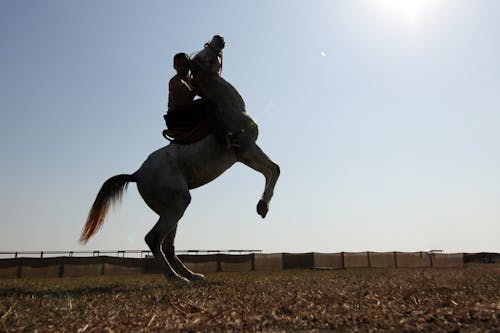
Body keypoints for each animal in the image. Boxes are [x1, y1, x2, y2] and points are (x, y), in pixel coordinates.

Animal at [80, 60, 280, 282]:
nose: (220, 47)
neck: (229, 108)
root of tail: (137, 174)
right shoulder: (248, 148)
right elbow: (275, 169)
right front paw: (263, 206)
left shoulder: (244, 157)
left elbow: (270, 171)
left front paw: (262, 206)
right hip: (178, 204)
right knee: (154, 239)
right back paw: (175, 278)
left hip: (170, 209)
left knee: (167, 245)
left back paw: (191, 275)